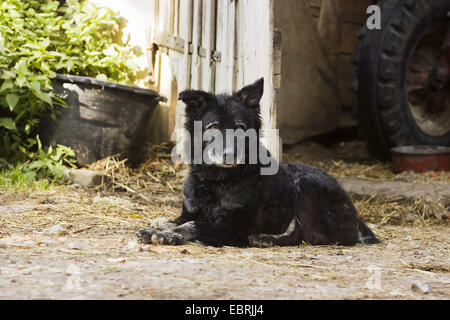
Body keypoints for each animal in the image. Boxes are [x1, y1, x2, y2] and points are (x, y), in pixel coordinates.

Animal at [135, 77, 378, 248]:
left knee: (301, 234)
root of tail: (355, 217)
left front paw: (170, 235)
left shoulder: (232, 228)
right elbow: (173, 221)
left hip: (306, 188)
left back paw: (264, 239)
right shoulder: (188, 212)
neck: (216, 181)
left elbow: (193, 225)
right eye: (213, 127)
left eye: (240, 128)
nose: (229, 154)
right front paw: (156, 229)